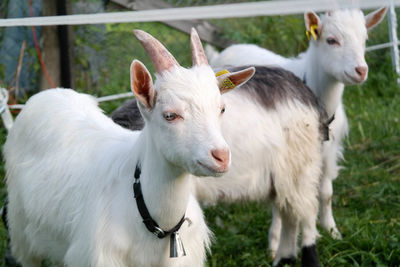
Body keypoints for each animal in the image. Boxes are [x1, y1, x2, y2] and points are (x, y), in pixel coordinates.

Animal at [209, 6, 388, 255]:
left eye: (365, 39)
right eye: (331, 40)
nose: (360, 71)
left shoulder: (327, 152)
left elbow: (326, 193)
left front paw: (332, 231)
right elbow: (280, 200)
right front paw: (276, 244)